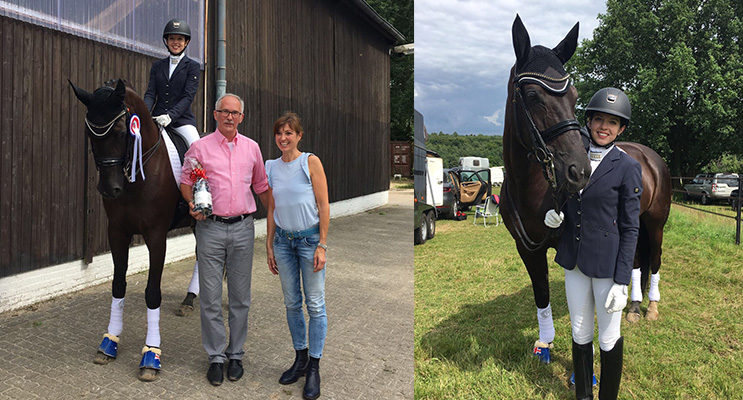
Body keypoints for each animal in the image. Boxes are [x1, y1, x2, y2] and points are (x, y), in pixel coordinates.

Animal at [70, 79, 192, 382]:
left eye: (122, 131)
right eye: (89, 132)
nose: (109, 189)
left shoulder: (156, 236)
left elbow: (152, 292)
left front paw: (151, 354)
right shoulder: (117, 232)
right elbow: (118, 284)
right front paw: (109, 342)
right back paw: (190, 300)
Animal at [502, 16, 672, 362]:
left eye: (574, 95)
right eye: (532, 95)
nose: (580, 172)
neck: (529, 185)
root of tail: (652, 157)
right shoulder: (528, 248)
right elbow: (541, 293)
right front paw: (545, 341)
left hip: (655, 222)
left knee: (655, 258)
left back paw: (650, 307)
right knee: (636, 260)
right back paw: (633, 307)